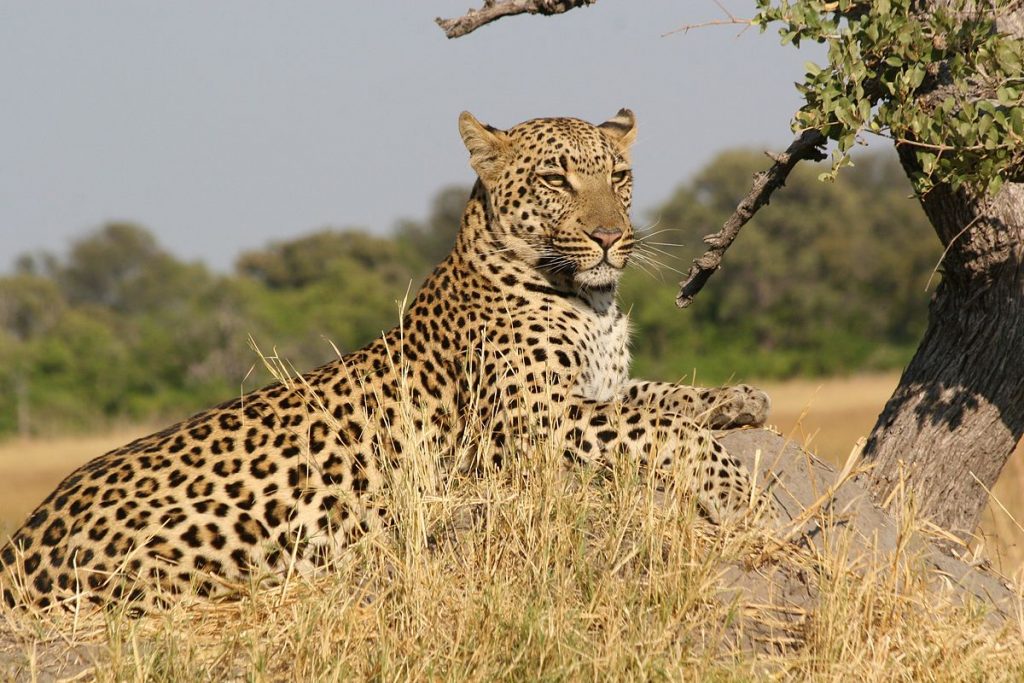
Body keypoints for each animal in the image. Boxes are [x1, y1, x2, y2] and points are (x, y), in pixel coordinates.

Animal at [0, 109, 770, 610]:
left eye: (620, 175)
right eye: (556, 178)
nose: (613, 236)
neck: (591, 301)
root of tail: (23, 538)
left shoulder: (594, 388)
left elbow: (664, 396)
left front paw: (740, 398)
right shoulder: (521, 424)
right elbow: (657, 426)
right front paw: (736, 489)